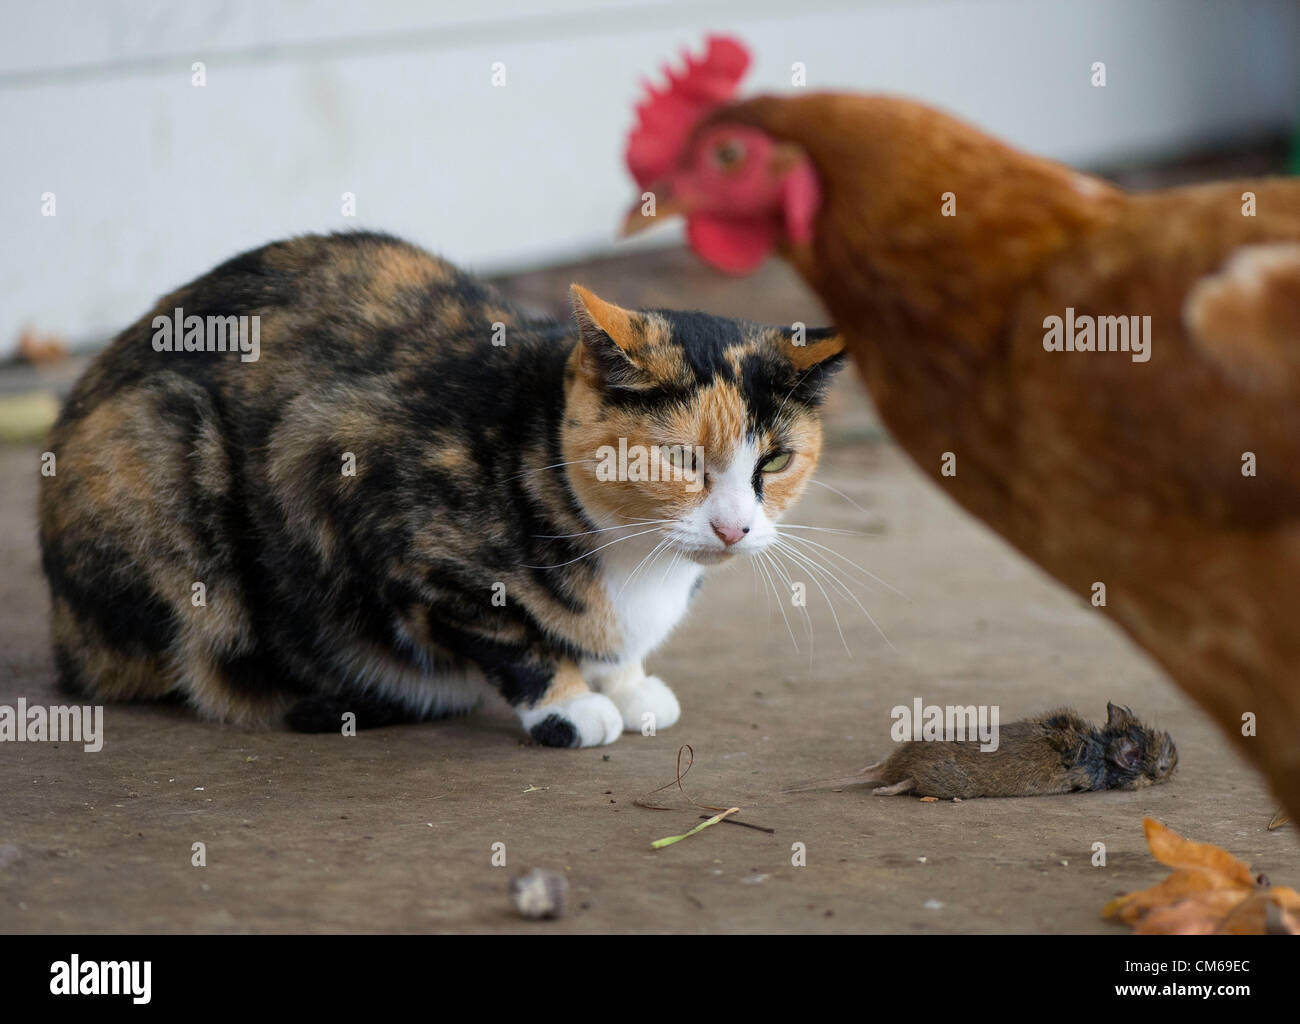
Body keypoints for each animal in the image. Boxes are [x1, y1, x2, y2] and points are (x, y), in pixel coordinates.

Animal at [38, 230, 842, 743]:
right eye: (680, 459)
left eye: (774, 460)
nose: (734, 526)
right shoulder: (358, 489)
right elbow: (506, 633)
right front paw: (569, 706)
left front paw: (625, 680)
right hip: (162, 447)